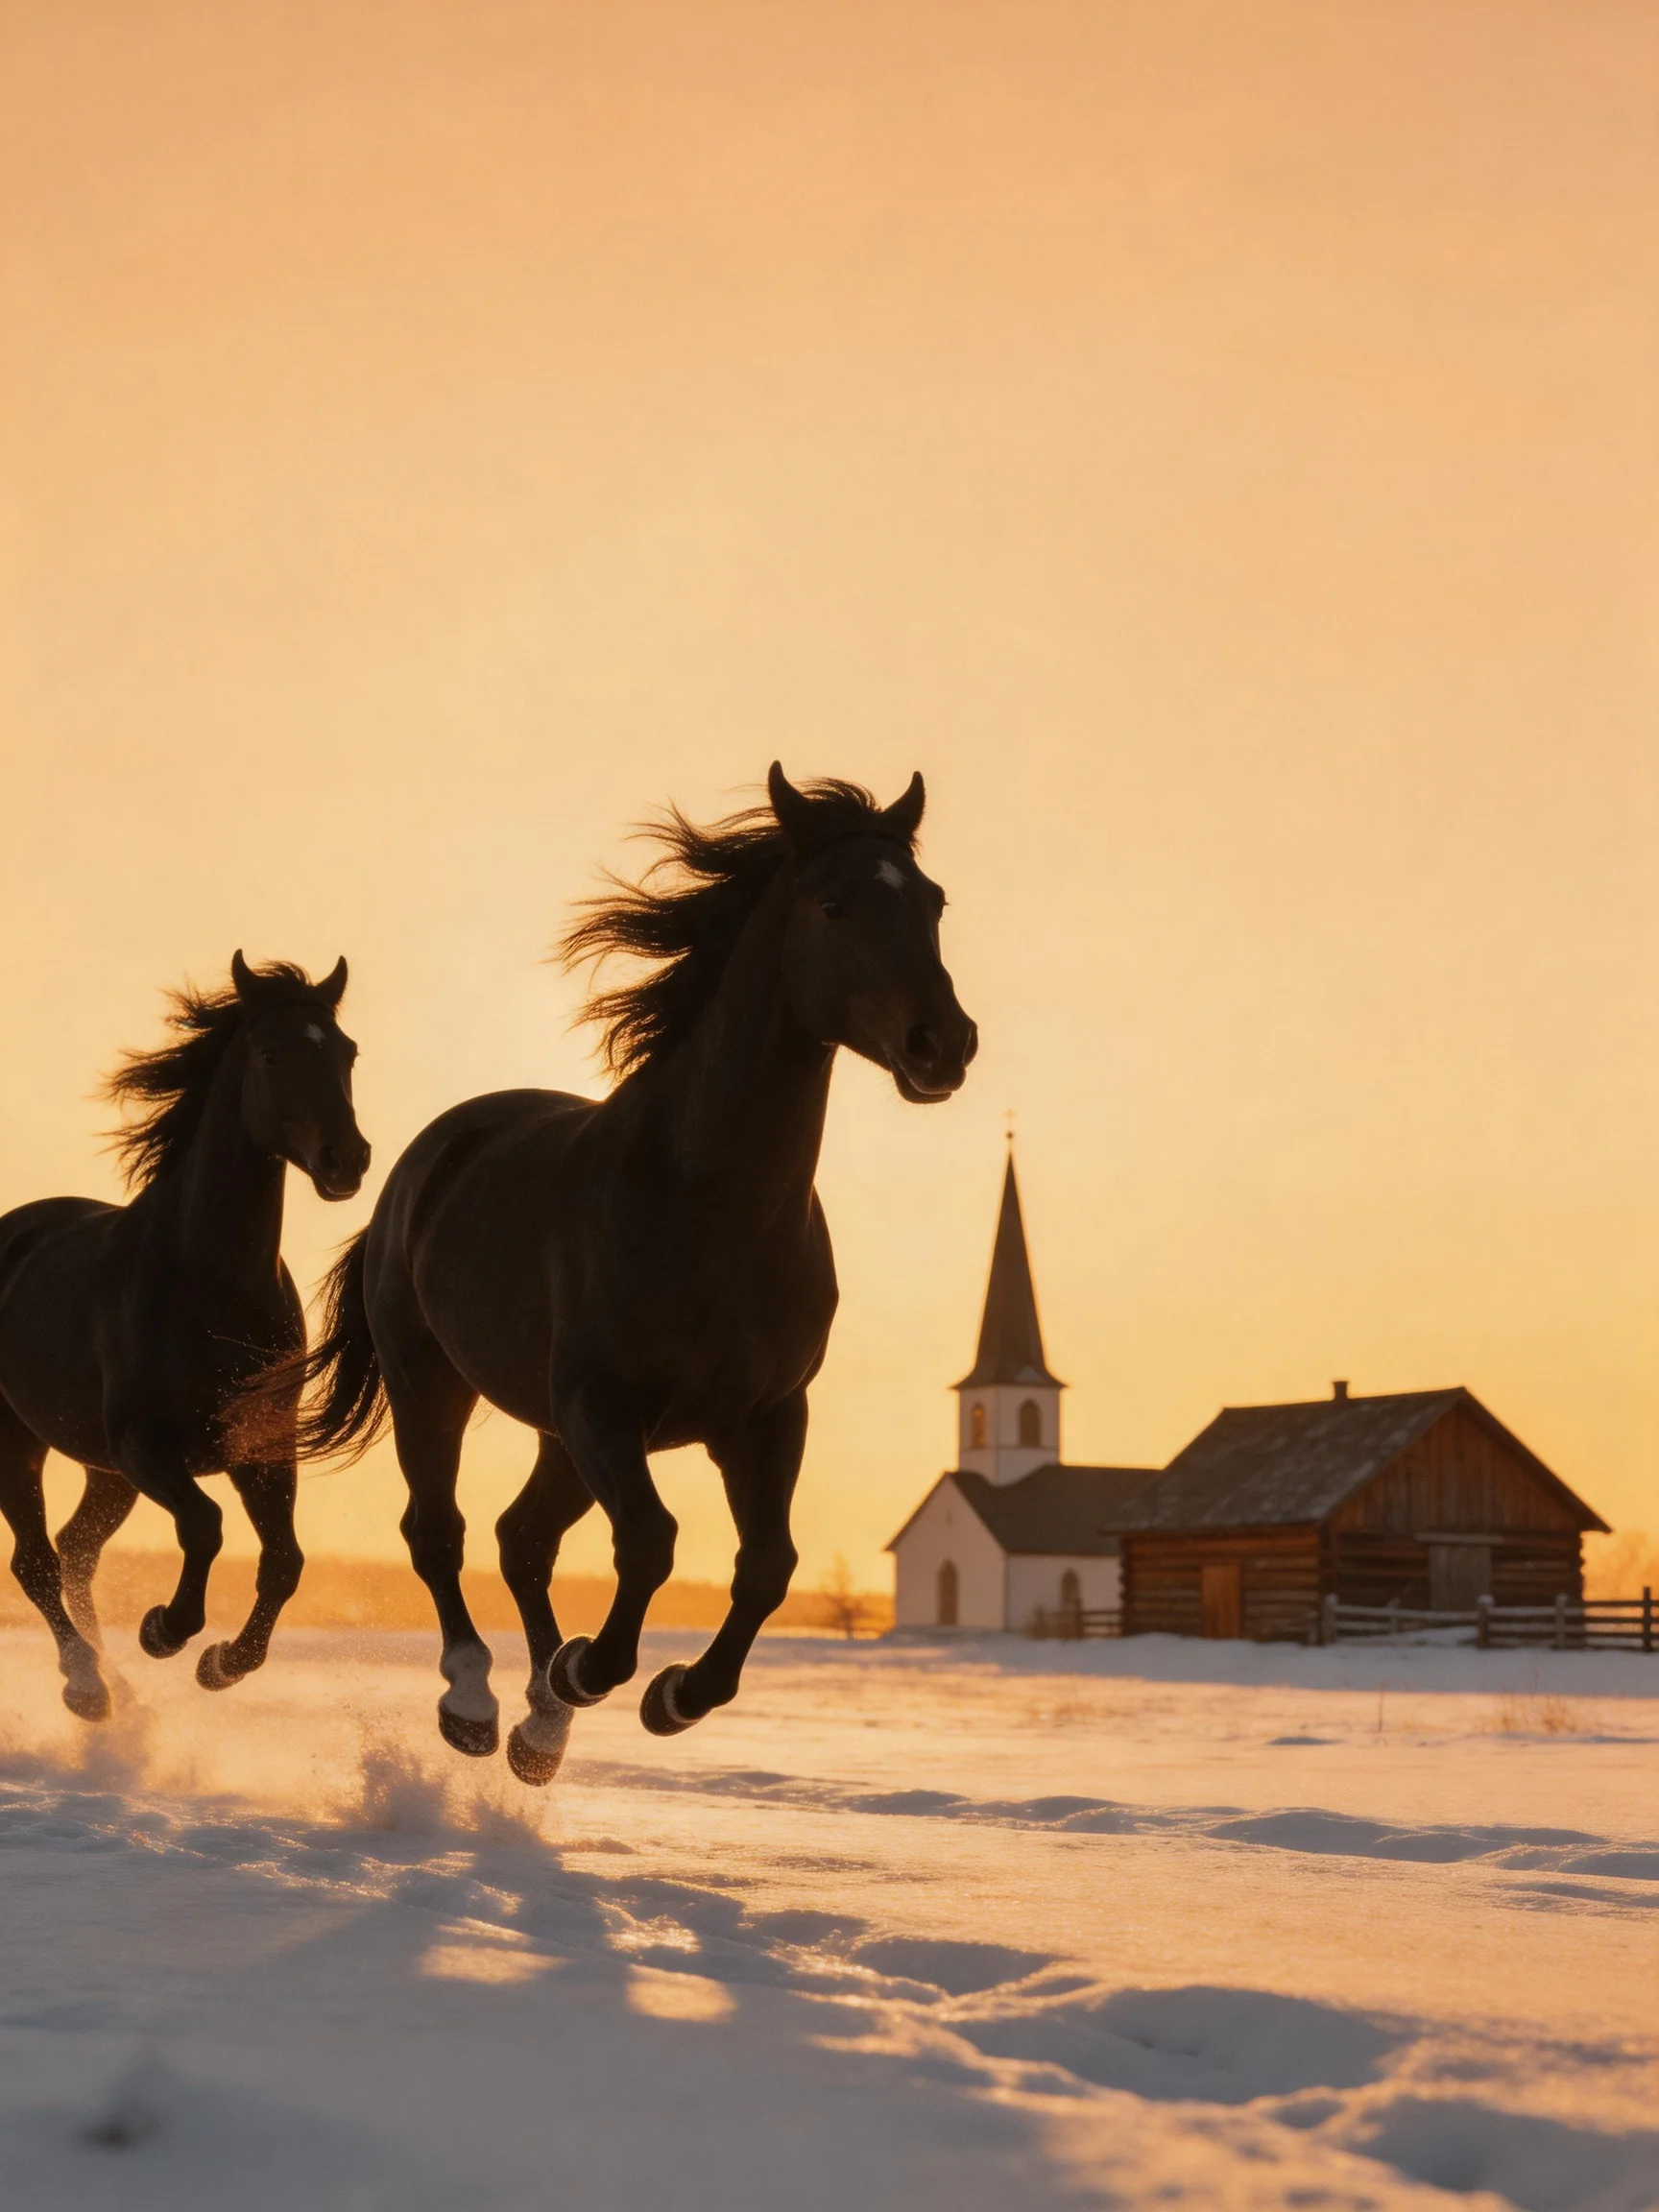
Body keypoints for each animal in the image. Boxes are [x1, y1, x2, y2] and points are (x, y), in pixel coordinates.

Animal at [0, 954, 370, 1721]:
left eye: (347, 1052)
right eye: (271, 1053)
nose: (345, 1160)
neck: (211, 1285)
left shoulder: (262, 1447)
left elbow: (285, 1561)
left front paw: (221, 1664)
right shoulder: (146, 1448)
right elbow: (205, 1525)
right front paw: (165, 1629)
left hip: (105, 1474)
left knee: (74, 1551)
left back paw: (116, 1687)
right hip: (20, 1444)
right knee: (37, 1560)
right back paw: (87, 1687)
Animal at [285, 766, 975, 1784]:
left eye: (931, 901)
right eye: (832, 904)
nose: (944, 1044)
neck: (711, 1210)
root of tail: (420, 1159)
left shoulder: (766, 1416)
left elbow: (768, 1564)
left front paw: (671, 1695)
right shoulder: (603, 1408)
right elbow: (650, 1542)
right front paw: (591, 1672)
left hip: (555, 1434)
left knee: (522, 1538)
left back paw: (538, 1733)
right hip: (437, 1387)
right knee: (440, 1532)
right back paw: (477, 1705)